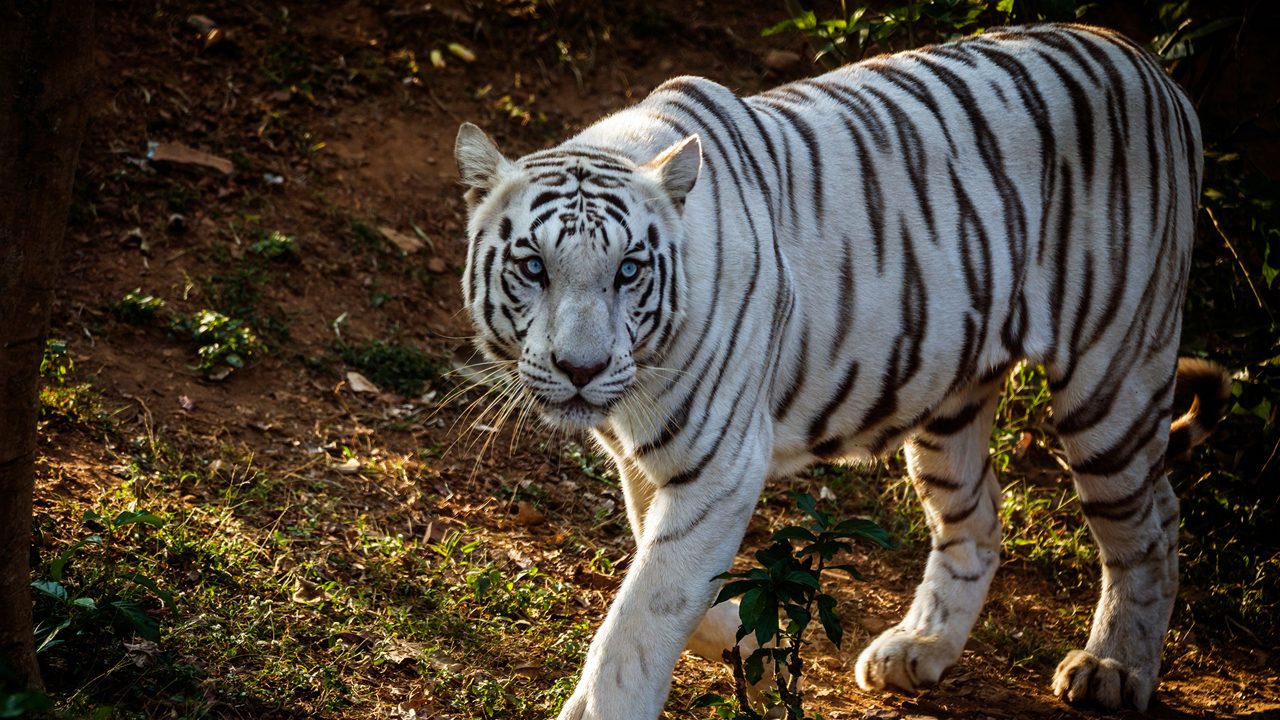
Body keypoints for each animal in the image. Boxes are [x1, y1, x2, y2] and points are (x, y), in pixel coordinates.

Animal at [453, 22, 1228, 717]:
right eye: (534, 267)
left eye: (629, 271)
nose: (580, 368)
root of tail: (1156, 73)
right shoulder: (650, 467)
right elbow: (677, 586)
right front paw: (757, 655)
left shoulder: (720, 461)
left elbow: (642, 617)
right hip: (951, 399)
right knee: (980, 515)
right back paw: (918, 649)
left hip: (1112, 379)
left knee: (1153, 524)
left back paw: (1113, 669)